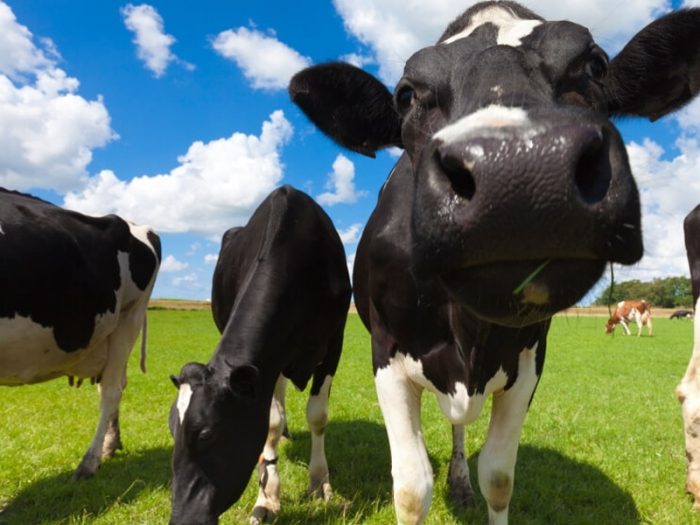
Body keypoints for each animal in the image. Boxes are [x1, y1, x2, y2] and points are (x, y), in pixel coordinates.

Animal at [0, 188, 161, 479]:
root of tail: (137, 226)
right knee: (114, 383)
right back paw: (110, 445)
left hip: (129, 318)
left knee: (110, 390)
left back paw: (88, 463)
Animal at [168, 186, 352, 525]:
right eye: (172, 430)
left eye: (206, 435)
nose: (183, 519)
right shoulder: (270, 361)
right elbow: (270, 422)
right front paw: (267, 496)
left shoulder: (335, 342)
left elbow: (318, 415)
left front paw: (320, 483)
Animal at [289, 2, 700, 523]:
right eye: (406, 95)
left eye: (596, 66)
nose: (519, 171)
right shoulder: (385, 353)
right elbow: (411, 490)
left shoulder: (529, 361)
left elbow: (499, 478)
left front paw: (474, 484)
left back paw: (460, 480)